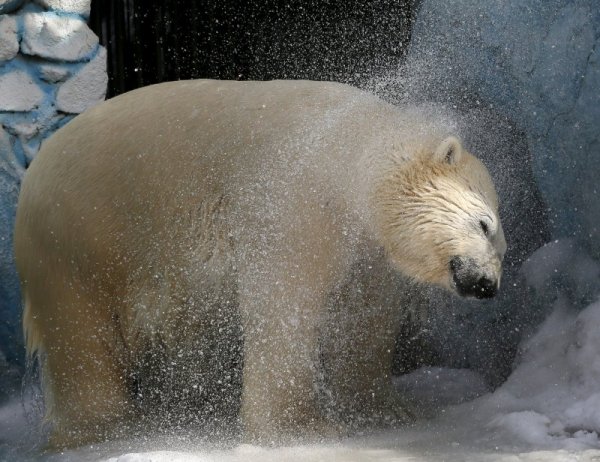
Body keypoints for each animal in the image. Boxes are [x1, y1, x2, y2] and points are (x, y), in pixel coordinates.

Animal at [14, 80, 506, 448]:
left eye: (502, 246)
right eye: (484, 224)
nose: (487, 284)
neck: (350, 151)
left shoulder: (367, 249)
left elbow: (364, 317)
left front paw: (387, 409)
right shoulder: (293, 195)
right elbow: (285, 304)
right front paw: (301, 427)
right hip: (77, 235)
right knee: (80, 335)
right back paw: (107, 425)